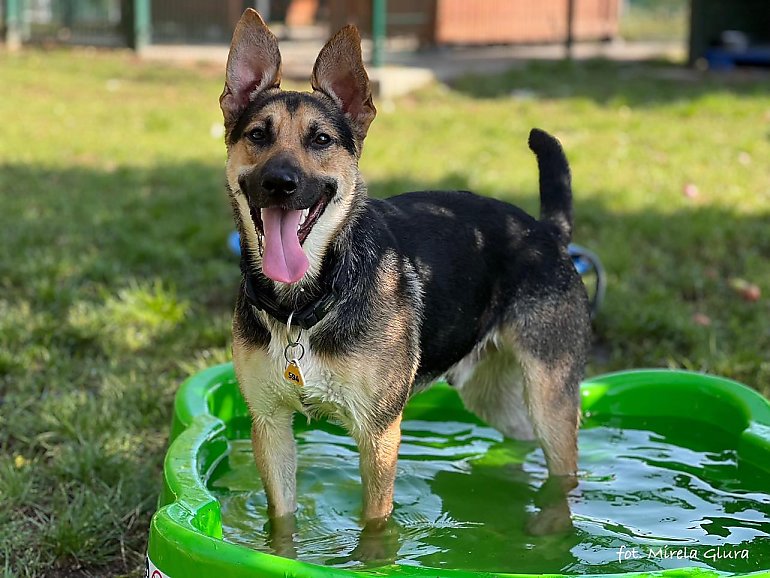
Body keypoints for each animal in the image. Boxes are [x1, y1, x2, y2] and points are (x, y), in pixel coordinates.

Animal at [219, 9, 592, 532]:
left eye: (321, 140)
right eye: (257, 135)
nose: (280, 183)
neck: (308, 301)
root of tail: (546, 231)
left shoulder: (378, 432)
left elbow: (376, 522)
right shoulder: (270, 425)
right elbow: (282, 519)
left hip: (549, 396)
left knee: (565, 464)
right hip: (494, 397)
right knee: (520, 439)